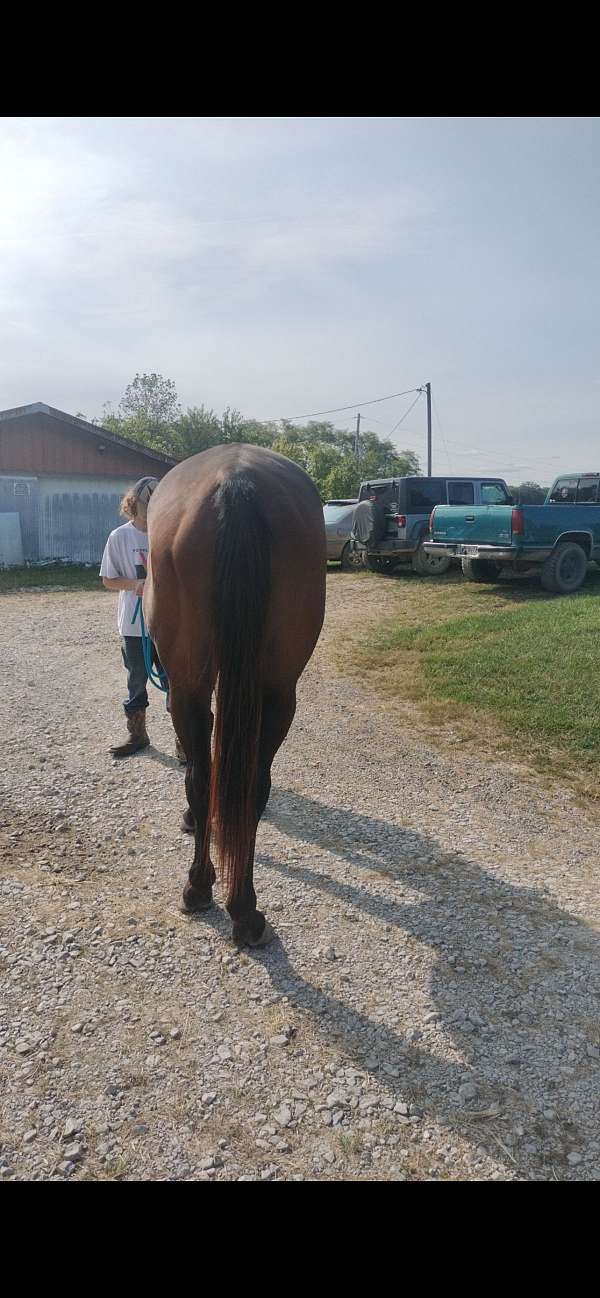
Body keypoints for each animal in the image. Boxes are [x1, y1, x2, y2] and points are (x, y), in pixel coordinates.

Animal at [144, 444, 326, 947]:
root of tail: (235, 481)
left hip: (192, 687)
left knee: (203, 777)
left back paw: (203, 889)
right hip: (278, 690)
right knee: (250, 784)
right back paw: (241, 908)